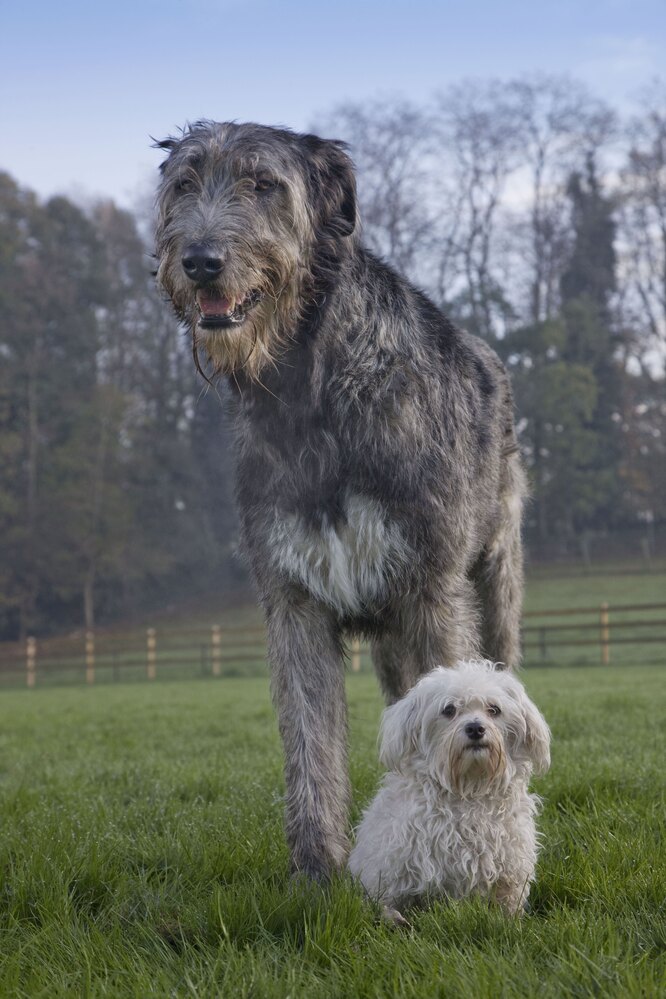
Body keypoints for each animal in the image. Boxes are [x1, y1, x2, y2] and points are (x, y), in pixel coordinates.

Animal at [154, 119, 524, 884]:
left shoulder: (433, 590)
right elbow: (311, 747)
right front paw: (318, 874)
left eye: (263, 184)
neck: (314, 390)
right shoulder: (292, 599)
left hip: (495, 576)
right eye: (183, 184)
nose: (200, 262)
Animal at [348, 664, 548, 920]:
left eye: (494, 709)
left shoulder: (510, 870)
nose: (475, 728)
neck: (469, 789)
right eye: (449, 710)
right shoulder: (398, 866)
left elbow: (507, 904)